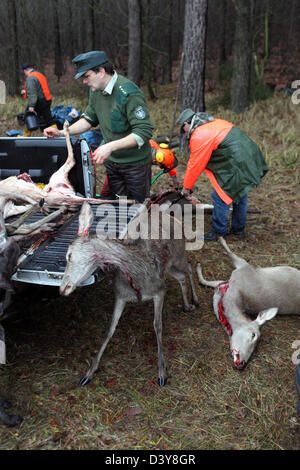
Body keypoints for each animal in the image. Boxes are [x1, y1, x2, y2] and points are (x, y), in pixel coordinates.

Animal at [59, 201, 199, 386]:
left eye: (69, 255)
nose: (62, 288)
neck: (136, 274)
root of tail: (172, 216)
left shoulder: (159, 290)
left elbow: (158, 325)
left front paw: (162, 373)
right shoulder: (120, 295)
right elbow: (109, 329)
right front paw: (89, 372)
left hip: (179, 253)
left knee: (189, 266)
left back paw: (195, 300)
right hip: (169, 267)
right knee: (182, 276)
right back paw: (186, 305)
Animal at [197, 237, 300, 370]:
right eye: (253, 335)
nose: (242, 363)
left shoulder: (242, 269)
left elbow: (230, 255)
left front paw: (220, 239)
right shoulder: (239, 272)